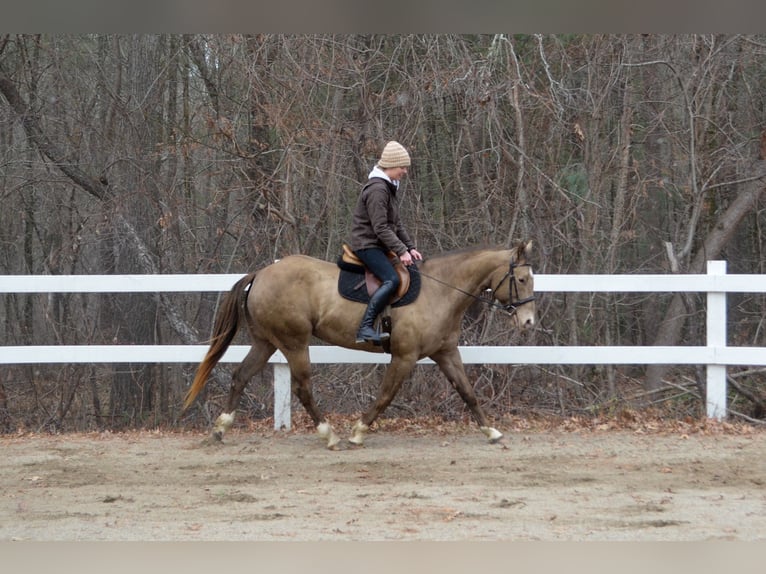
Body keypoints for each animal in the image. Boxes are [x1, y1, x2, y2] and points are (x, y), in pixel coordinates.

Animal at [183, 241, 536, 448]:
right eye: (521, 279)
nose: (529, 322)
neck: (440, 291)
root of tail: (262, 272)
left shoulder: (446, 353)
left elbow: (467, 392)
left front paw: (491, 432)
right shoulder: (405, 356)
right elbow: (385, 396)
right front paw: (358, 431)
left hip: (266, 342)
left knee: (240, 376)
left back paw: (220, 429)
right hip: (294, 342)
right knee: (302, 387)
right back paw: (330, 435)